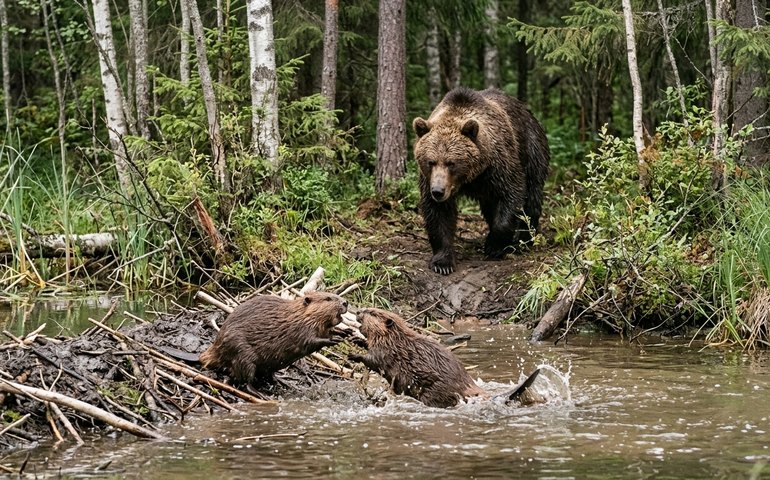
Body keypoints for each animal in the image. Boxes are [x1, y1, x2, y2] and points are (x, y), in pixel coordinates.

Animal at [412, 87, 550, 275]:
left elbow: (512, 193)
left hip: (531, 149)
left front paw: (494, 246)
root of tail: (528, 112)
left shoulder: (499, 164)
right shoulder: (429, 180)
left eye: (451, 163)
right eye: (431, 161)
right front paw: (443, 262)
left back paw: (524, 240)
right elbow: (438, 214)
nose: (438, 191)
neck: (471, 177)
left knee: (532, 198)